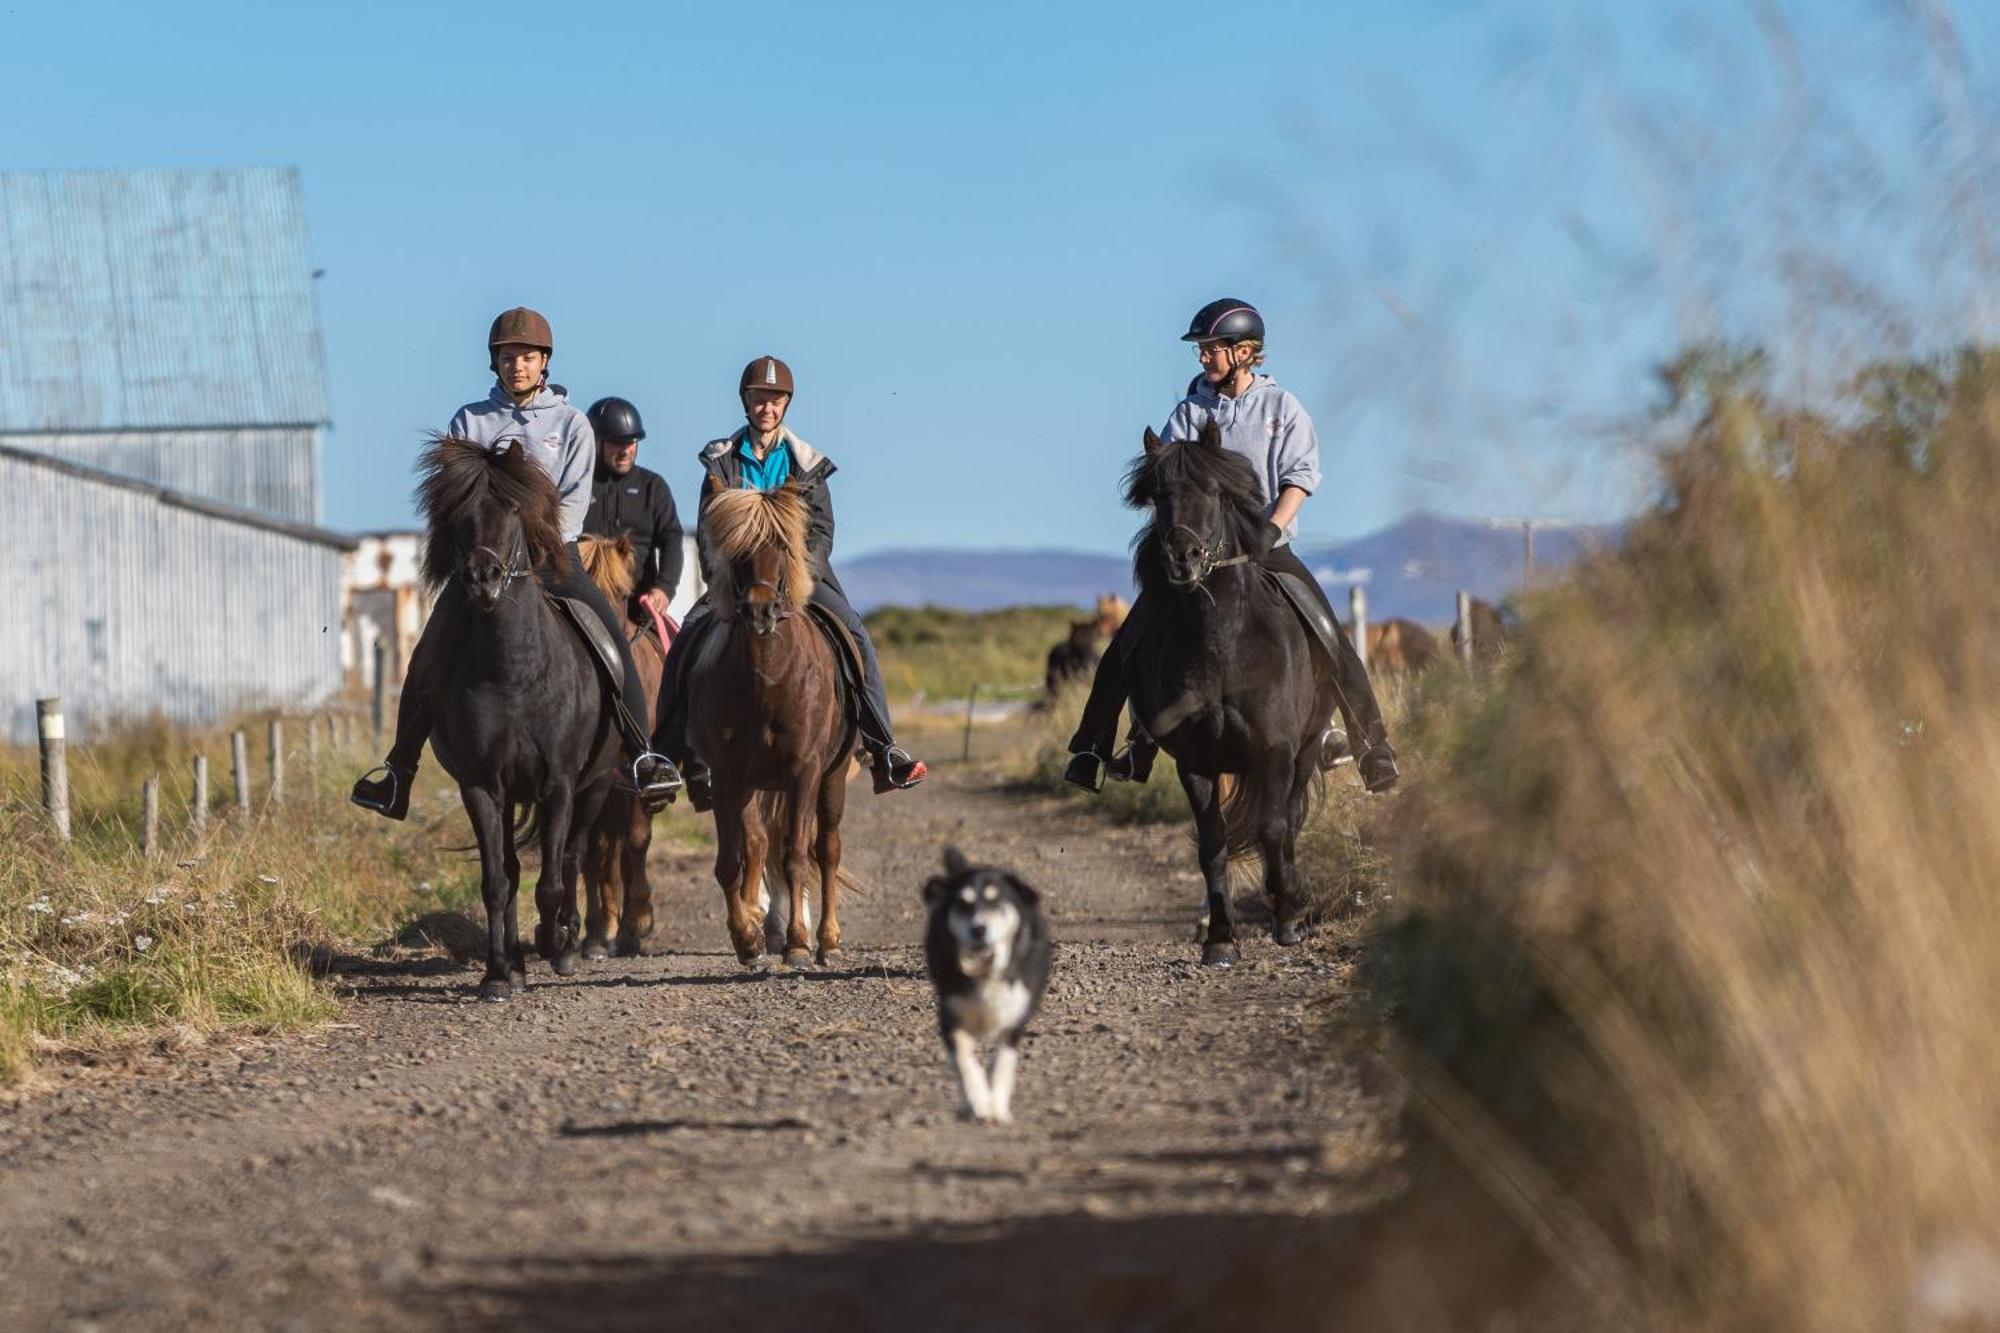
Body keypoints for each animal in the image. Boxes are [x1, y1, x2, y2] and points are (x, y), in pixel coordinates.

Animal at [414, 436, 616, 996]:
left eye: (510, 509)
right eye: (460, 513)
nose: (483, 579)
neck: (515, 671)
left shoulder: (560, 784)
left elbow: (551, 881)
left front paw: (553, 941)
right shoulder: (483, 786)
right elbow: (497, 881)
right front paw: (499, 973)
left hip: (595, 786)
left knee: (571, 858)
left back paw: (565, 943)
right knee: (513, 866)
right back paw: (520, 965)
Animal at [688, 482, 852, 960]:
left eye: (781, 545)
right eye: (736, 547)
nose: (760, 612)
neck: (768, 679)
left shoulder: (805, 771)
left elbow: (796, 855)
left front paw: (797, 942)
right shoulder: (727, 776)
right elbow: (729, 862)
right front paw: (747, 938)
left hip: (832, 776)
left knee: (826, 849)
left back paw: (827, 939)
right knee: (761, 844)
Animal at [916, 844, 1048, 1112]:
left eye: (995, 901)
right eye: (962, 904)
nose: (978, 929)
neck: (985, 971)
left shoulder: (1014, 1017)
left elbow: (1002, 1061)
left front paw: (996, 1104)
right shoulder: (951, 1015)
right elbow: (963, 1058)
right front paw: (977, 1098)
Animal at [1120, 420, 1336, 960]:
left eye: (1215, 492)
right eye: (1159, 496)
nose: (1183, 559)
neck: (1223, 640)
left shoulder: (1276, 751)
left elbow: (1274, 830)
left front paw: (1287, 916)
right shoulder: (1196, 762)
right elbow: (1211, 845)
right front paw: (1220, 938)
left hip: (1305, 754)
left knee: (1289, 822)